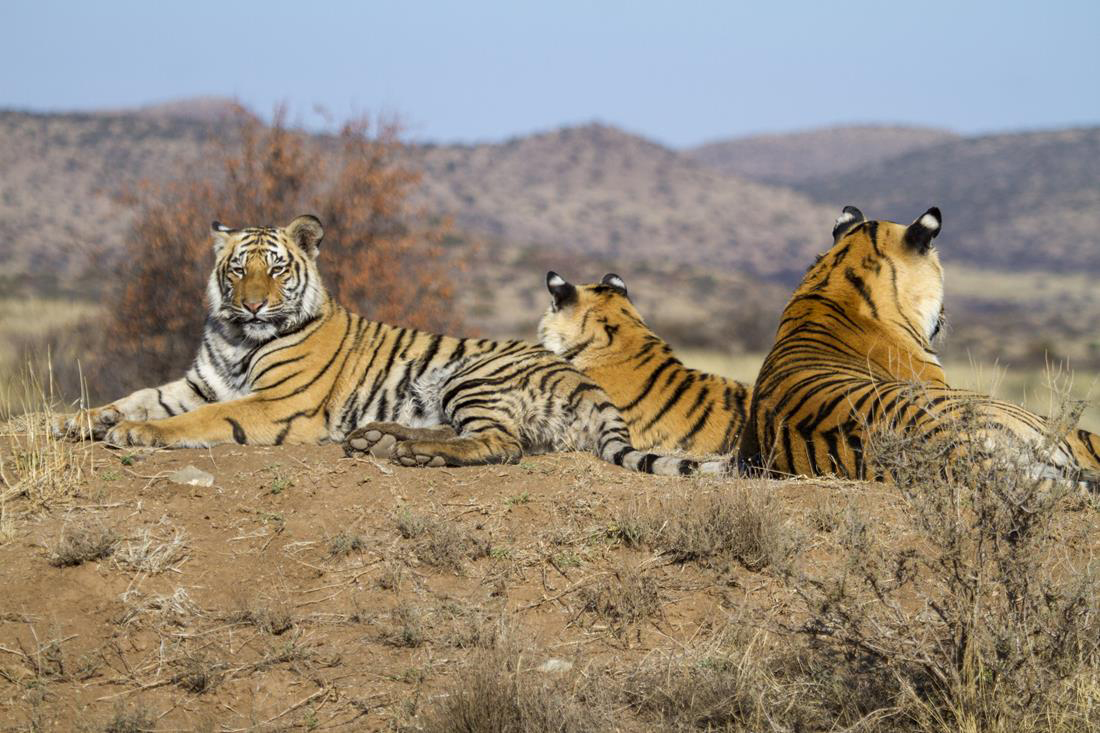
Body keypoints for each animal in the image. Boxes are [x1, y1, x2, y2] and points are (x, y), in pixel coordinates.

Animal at [56, 215, 727, 477]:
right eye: (237, 269)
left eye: (276, 269)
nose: (251, 304)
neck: (239, 337)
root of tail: (589, 384)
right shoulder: (197, 382)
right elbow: (138, 395)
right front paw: (77, 421)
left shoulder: (274, 405)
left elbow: (197, 420)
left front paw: (134, 435)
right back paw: (378, 440)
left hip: (472, 375)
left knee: (501, 445)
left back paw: (411, 452)